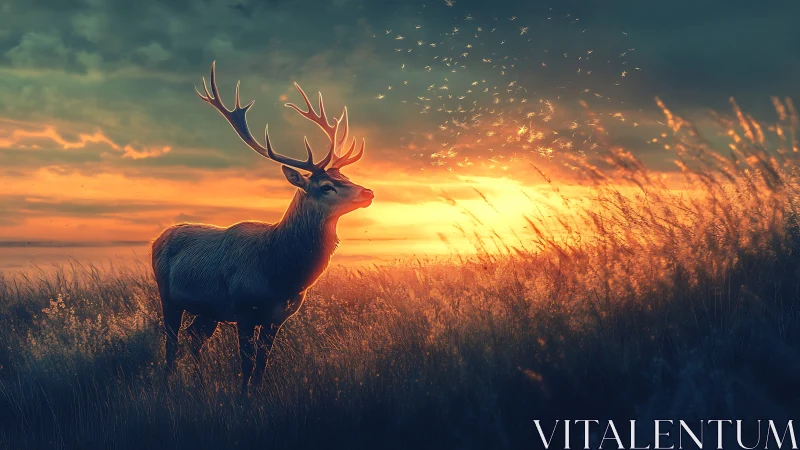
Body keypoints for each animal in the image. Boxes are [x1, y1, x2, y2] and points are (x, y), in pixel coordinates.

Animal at [151, 62, 374, 393]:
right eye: (326, 186)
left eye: (345, 177)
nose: (368, 192)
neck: (279, 272)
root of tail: (157, 239)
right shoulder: (244, 309)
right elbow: (246, 365)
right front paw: (243, 399)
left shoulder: (277, 317)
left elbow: (261, 367)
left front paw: (255, 396)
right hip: (167, 296)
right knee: (171, 344)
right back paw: (168, 386)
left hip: (209, 308)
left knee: (194, 337)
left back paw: (199, 382)